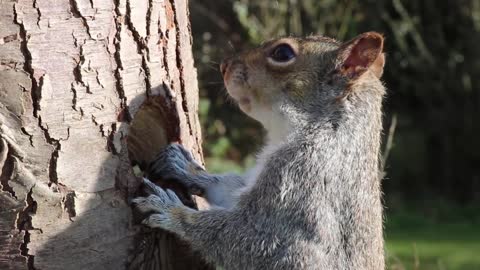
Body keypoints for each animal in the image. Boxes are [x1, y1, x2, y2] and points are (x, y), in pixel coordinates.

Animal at [133, 32, 388, 270]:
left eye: (282, 53)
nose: (225, 65)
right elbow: (228, 189)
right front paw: (186, 167)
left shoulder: (300, 181)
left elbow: (246, 240)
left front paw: (171, 209)